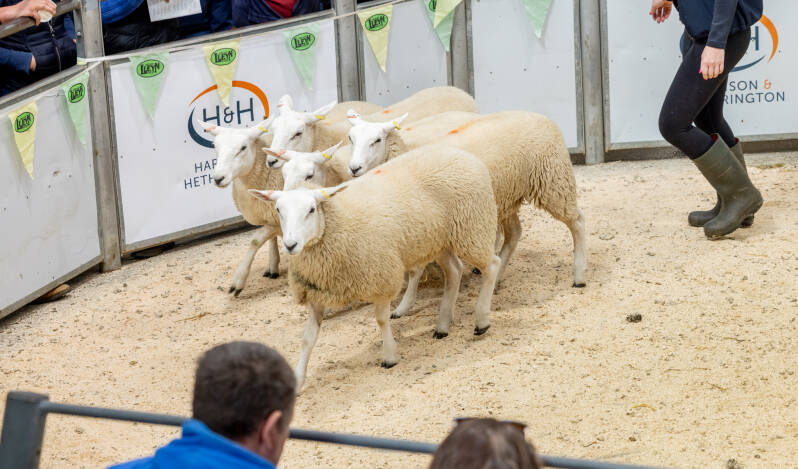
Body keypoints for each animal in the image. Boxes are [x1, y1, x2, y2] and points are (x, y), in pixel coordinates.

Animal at [249, 144, 501, 388]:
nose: (290, 245)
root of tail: (462, 154)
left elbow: (381, 319)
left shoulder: (381, 278)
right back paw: (443, 325)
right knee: (454, 271)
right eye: (279, 210)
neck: (335, 222)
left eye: (311, 210)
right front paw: (299, 378)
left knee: (492, 266)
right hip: (440, 241)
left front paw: (389, 356)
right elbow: (307, 338)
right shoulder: (319, 293)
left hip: (472, 228)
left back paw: (481, 320)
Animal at [347, 111, 588, 310]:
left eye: (377, 140)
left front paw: (404, 306)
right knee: (514, 234)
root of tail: (540, 115)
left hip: (553, 179)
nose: (354, 168)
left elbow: (416, 271)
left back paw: (579, 275)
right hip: (505, 197)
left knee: (577, 221)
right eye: (351, 138)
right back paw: (496, 278)